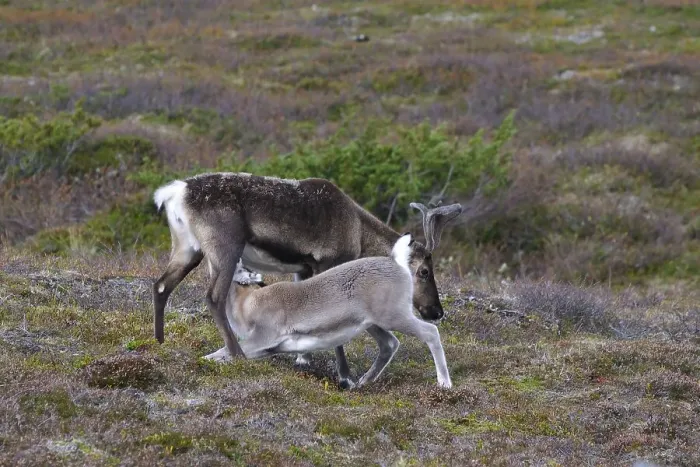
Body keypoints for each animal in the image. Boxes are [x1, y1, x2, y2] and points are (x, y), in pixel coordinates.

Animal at [226, 233, 452, 388]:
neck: (246, 304)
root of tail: (397, 262)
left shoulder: (262, 337)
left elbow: (222, 354)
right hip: (372, 323)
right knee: (390, 343)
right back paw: (362, 382)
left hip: (394, 316)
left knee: (431, 332)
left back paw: (444, 383)